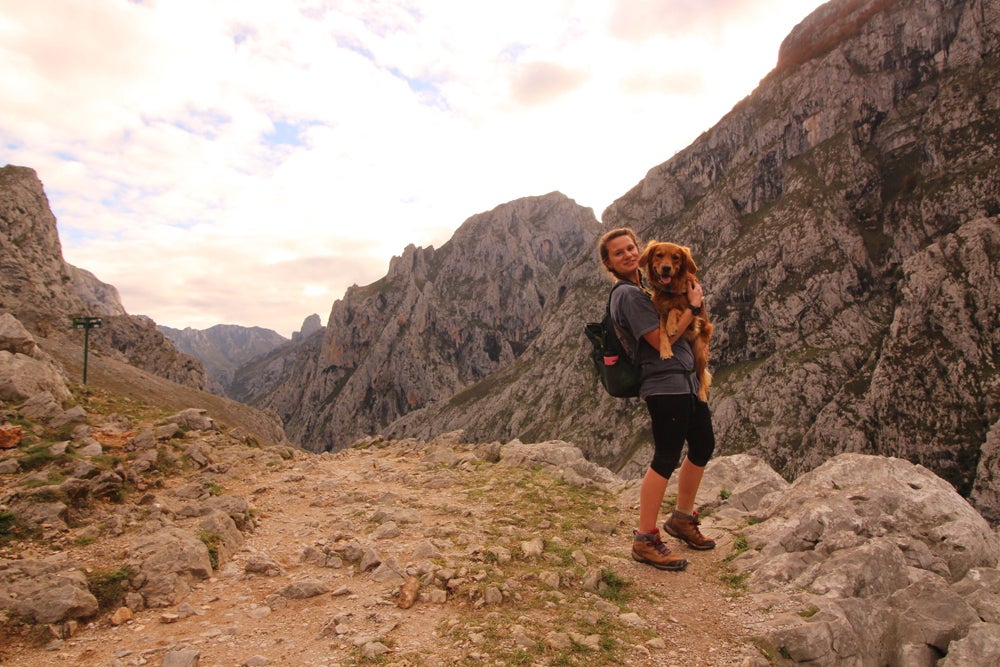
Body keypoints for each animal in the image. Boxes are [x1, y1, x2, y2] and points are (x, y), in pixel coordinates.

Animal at [636, 244, 716, 402]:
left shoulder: (692, 319)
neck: (670, 291)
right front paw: (665, 349)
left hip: (699, 349)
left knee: (701, 375)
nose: (666, 268)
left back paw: (702, 393)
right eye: (659, 255)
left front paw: (672, 326)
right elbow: (661, 329)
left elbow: (676, 309)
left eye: (675, 257)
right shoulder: (660, 312)